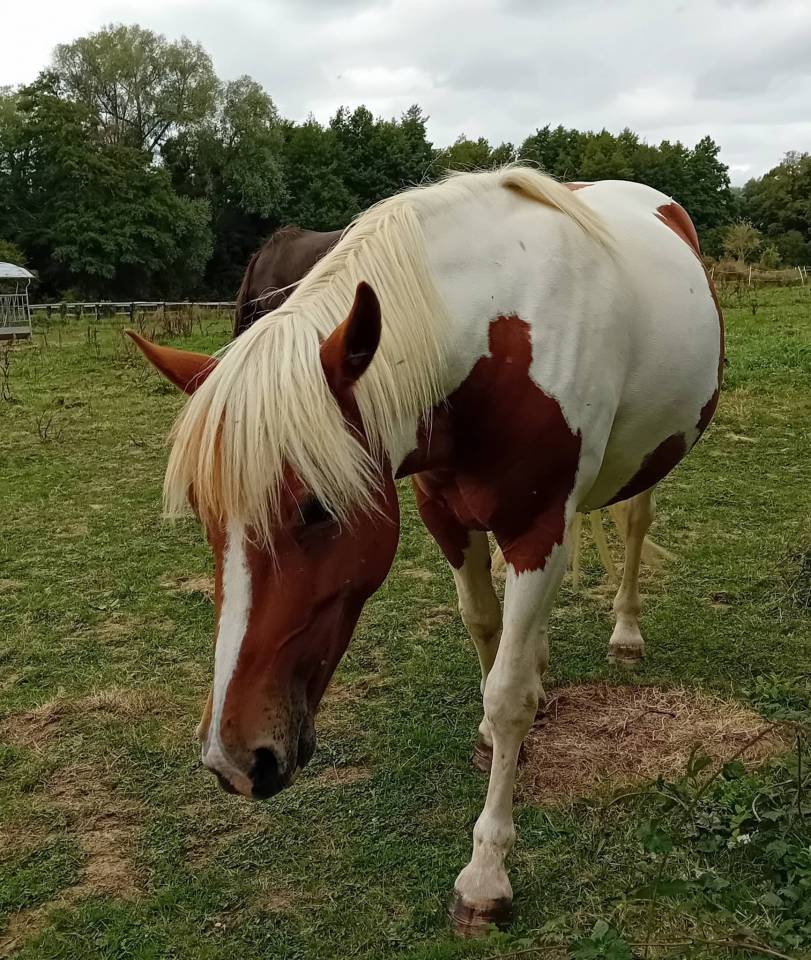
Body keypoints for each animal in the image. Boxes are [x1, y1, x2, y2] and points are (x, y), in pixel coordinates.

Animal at [129, 167, 722, 935]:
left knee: (633, 529)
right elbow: (486, 632)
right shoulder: (445, 516)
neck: (499, 340)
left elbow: (507, 694)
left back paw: (624, 632)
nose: (233, 759)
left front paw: (486, 875)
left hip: (647, 464)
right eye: (207, 515)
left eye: (315, 508)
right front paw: (502, 727)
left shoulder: (538, 528)